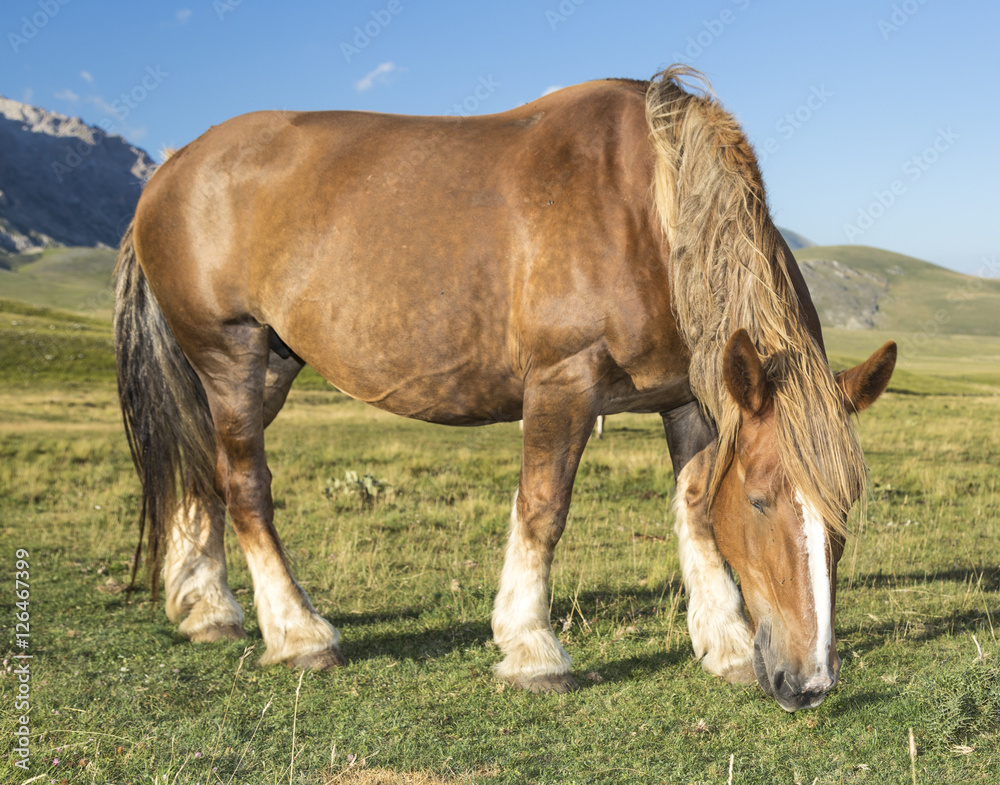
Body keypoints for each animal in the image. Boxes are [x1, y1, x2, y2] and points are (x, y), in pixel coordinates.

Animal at [113, 66, 896, 712]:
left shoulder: (691, 397)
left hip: (268, 368)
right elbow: (543, 509)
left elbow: (697, 509)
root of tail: (171, 168)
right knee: (245, 485)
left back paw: (208, 608)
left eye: (846, 506)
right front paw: (532, 649)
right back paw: (300, 633)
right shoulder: (561, 382)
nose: (809, 681)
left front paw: (726, 641)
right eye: (762, 500)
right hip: (230, 356)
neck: (652, 210)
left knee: (205, 473)